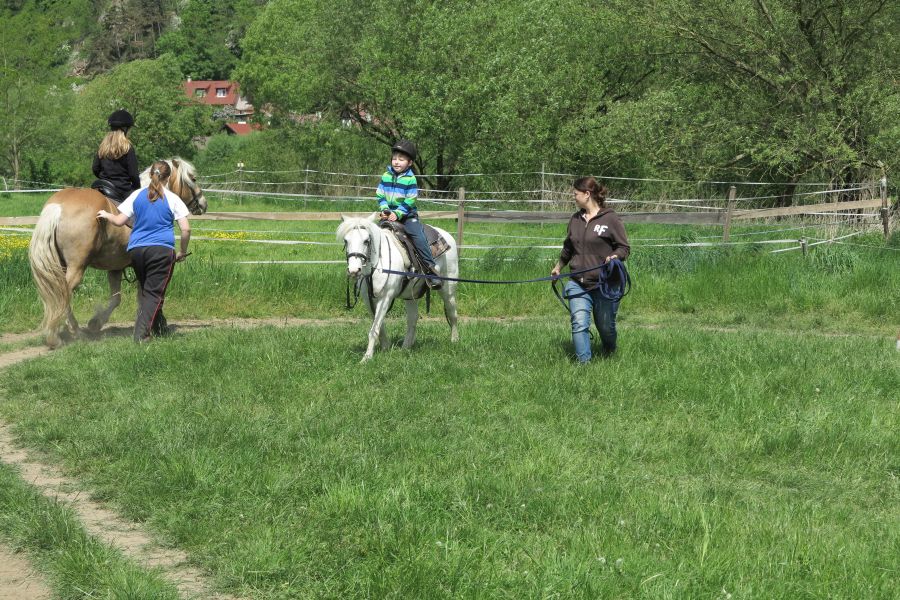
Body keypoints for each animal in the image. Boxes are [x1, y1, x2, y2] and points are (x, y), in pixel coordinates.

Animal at [28, 158, 207, 348]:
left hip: (60, 266)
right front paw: (156, 325)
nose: (203, 203)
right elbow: (143, 297)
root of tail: (58, 206)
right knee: (63, 294)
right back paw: (66, 333)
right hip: (76, 268)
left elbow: (116, 298)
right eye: (193, 179)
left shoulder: (115, 268)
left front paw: (96, 323)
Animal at [337, 215, 459, 361]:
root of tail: (447, 236)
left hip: (448, 289)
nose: (354, 270)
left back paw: (454, 340)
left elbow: (374, 329)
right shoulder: (368, 299)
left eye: (366, 241)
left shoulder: (386, 297)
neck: (378, 264)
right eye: (346, 240)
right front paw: (385, 347)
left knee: (452, 314)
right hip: (410, 296)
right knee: (412, 319)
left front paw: (366, 358)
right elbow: (379, 326)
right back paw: (405, 348)